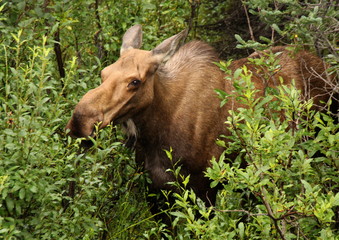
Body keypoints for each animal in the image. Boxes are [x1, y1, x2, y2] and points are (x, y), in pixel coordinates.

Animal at [66, 24, 334, 221]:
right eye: (103, 73)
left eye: (135, 81)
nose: (80, 122)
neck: (154, 135)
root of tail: (324, 66)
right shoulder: (153, 190)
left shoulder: (204, 187)